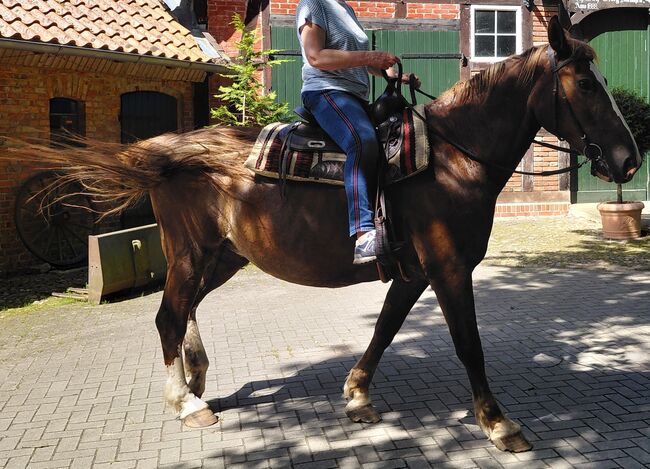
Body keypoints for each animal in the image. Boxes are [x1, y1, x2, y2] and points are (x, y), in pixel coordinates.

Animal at [6, 17, 641, 453]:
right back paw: (184, 401)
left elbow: (385, 328)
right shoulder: (448, 268)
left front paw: (357, 393)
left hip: (222, 257)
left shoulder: (414, 272)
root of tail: (171, 148)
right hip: (189, 252)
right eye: (585, 85)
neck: (452, 159)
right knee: (167, 315)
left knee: (184, 311)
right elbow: (469, 344)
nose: (629, 158)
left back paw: (197, 372)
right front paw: (499, 422)